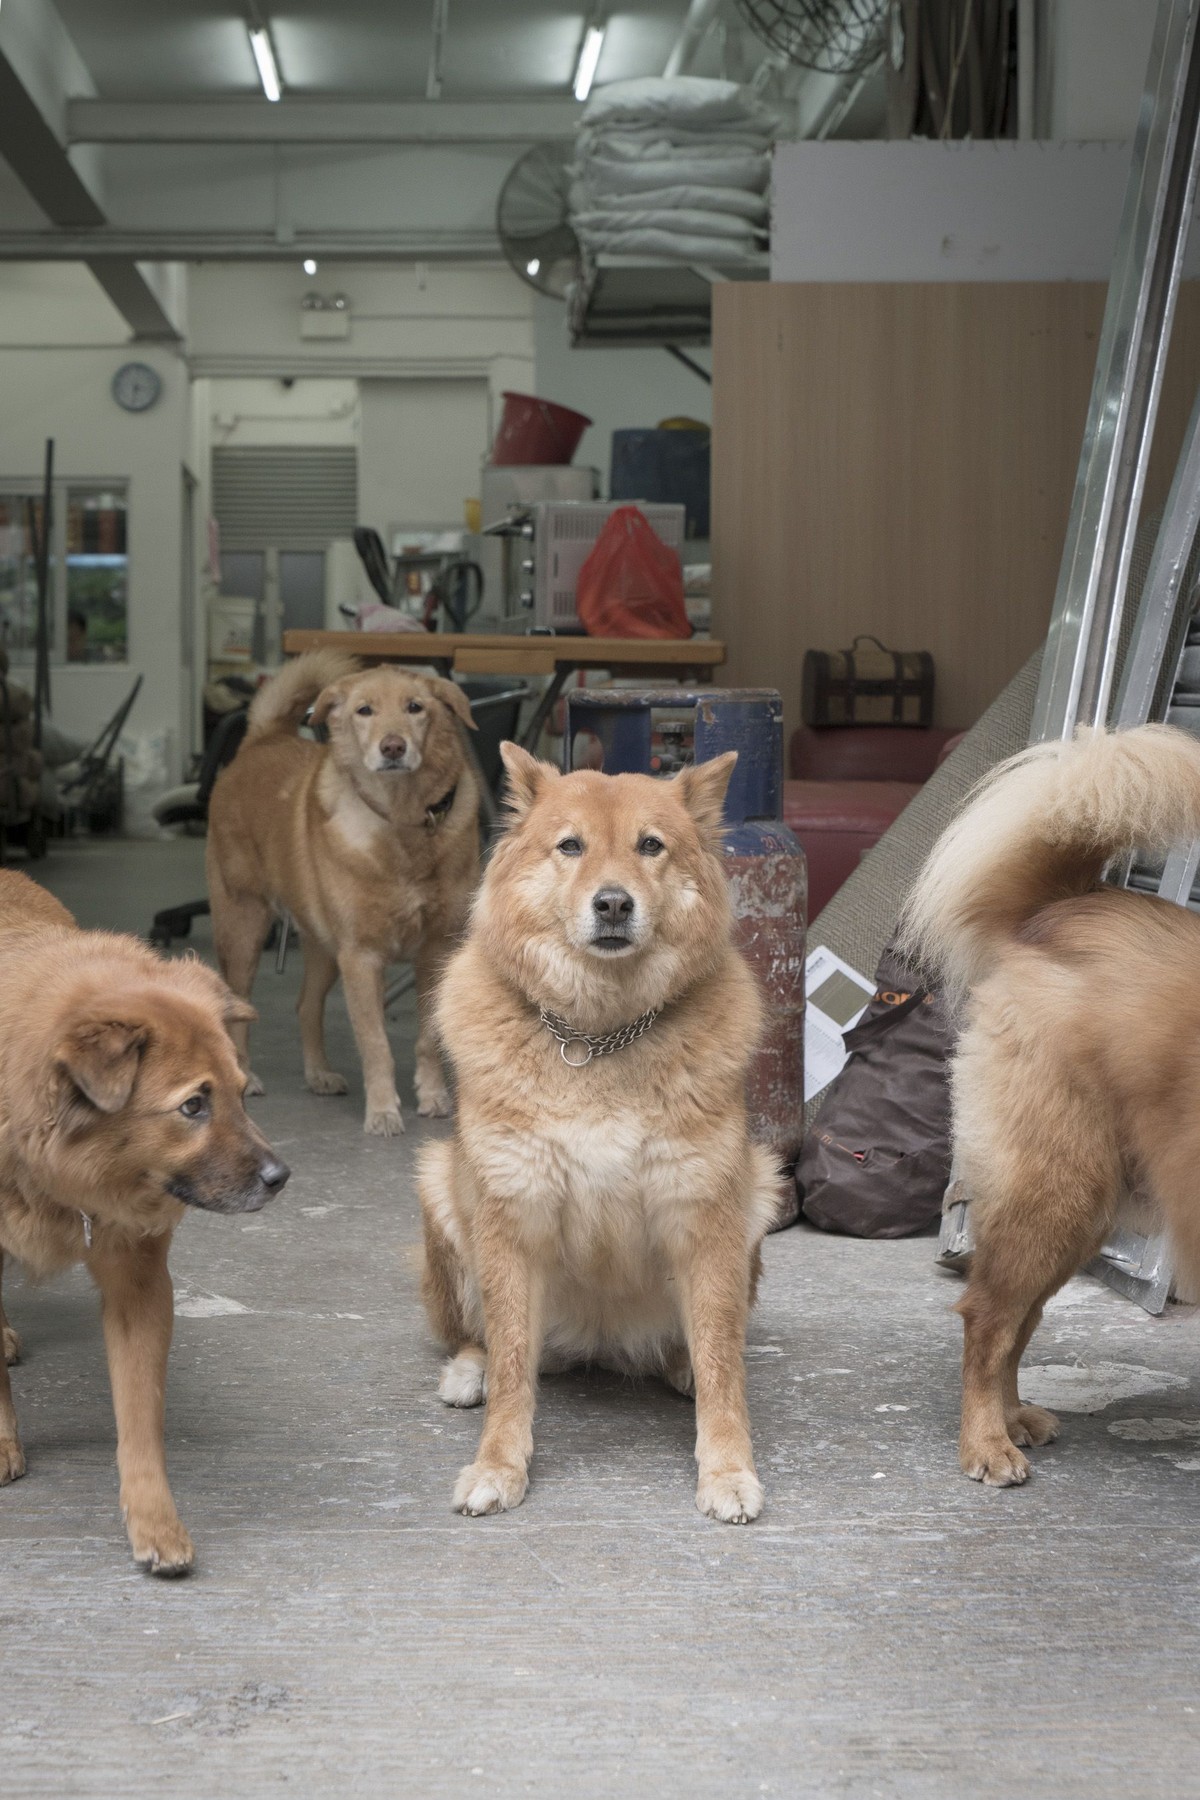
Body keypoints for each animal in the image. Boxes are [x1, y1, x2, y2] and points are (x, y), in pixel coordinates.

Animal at [0, 871, 289, 1576]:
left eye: (240, 1091)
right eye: (192, 1105)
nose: (281, 1177)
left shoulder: (139, 1282)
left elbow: (140, 1413)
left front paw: (155, 1521)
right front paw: (0, 1444)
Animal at [208, 651, 482, 1137]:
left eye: (415, 707)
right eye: (364, 710)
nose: (392, 747)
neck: (403, 824)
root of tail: (262, 738)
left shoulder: (436, 952)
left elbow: (429, 1038)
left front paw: (433, 1097)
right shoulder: (362, 958)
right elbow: (375, 1043)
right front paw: (383, 1111)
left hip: (322, 947)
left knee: (306, 1005)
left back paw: (318, 1073)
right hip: (244, 928)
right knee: (237, 1006)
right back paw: (246, 1075)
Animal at [420, 741, 780, 1519]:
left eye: (650, 846)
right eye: (571, 847)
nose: (613, 902)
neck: (598, 1036)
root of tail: (599, 1342)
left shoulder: (706, 1215)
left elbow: (721, 1359)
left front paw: (727, 1467)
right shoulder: (511, 1217)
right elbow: (514, 1361)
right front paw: (498, 1465)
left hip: (761, 1191)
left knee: (704, 1347)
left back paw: (677, 1366)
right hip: (440, 1188)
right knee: (478, 1338)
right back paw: (470, 1372)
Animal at [899, 720, 1200, 1490]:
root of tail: (1058, 911)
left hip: (1078, 1204)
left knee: (1020, 1320)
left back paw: (1009, 1420)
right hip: (1059, 1189)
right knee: (990, 1317)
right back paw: (985, 1443)